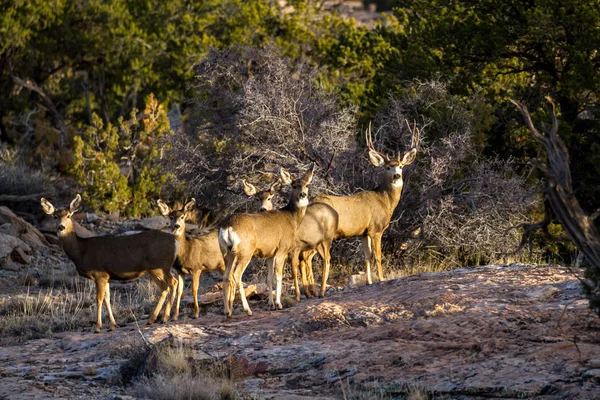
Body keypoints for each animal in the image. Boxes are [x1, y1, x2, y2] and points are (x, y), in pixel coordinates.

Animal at [40, 194, 178, 332]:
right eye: (55, 216)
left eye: (69, 215)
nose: (61, 227)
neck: (81, 251)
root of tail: (175, 241)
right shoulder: (107, 276)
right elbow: (107, 298)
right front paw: (112, 325)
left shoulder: (99, 274)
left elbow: (98, 299)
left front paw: (97, 327)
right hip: (154, 269)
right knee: (165, 287)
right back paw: (152, 319)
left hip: (160, 265)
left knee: (172, 282)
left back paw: (164, 317)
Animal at [219, 164, 314, 318]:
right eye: (294, 185)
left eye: (307, 185)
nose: (303, 194)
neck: (292, 219)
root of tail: (227, 226)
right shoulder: (282, 249)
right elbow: (278, 276)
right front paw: (279, 304)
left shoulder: (270, 254)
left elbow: (269, 278)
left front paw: (270, 305)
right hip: (245, 251)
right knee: (236, 275)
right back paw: (247, 310)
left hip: (227, 252)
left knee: (226, 276)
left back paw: (227, 311)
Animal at [316, 121, 420, 294]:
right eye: (387, 167)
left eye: (400, 166)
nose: (396, 176)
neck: (384, 200)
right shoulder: (376, 229)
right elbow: (378, 255)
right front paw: (382, 279)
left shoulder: (363, 232)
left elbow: (367, 256)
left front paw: (369, 281)